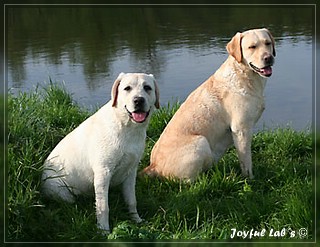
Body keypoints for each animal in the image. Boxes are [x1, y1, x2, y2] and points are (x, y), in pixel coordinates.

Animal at [42, 72, 160, 233]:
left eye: (147, 88)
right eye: (127, 88)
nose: (138, 100)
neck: (126, 127)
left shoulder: (131, 171)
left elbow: (132, 200)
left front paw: (136, 220)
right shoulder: (103, 172)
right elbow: (103, 207)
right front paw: (104, 231)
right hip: (64, 193)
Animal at [142, 28, 276, 180]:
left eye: (268, 43)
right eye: (252, 47)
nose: (268, 58)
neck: (244, 75)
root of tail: (154, 166)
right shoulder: (241, 129)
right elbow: (246, 160)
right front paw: (249, 178)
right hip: (201, 142)